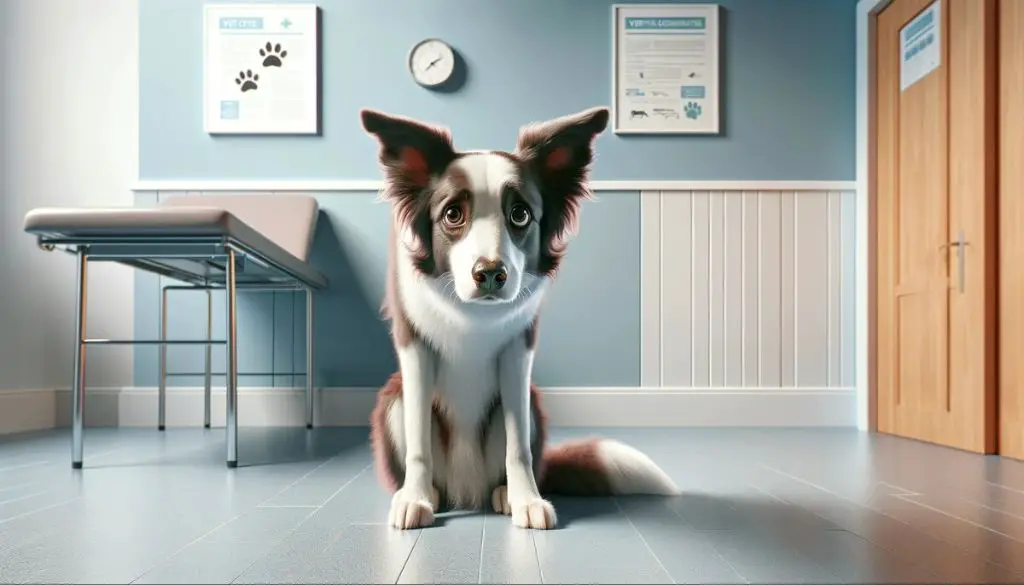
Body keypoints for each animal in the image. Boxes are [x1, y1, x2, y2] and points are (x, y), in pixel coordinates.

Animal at [360, 105, 679, 532]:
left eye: (520, 214)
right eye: (452, 214)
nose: (490, 274)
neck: (473, 314)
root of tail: (468, 486)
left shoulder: (516, 354)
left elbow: (518, 448)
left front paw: (526, 500)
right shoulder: (415, 350)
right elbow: (418, 444)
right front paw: (414, 498)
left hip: (530, 405)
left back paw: (502, 493)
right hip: (393, 401)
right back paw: (432, 493)